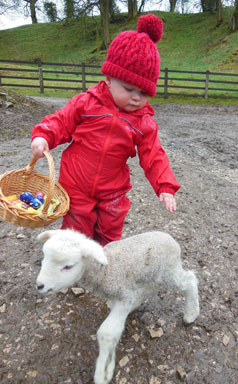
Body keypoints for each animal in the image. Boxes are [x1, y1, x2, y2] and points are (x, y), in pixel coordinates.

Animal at [36, 230, 200, 382]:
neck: (105, 271)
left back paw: (191, 314)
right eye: (45, 257)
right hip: (150, 274)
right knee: (151, 288)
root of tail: (169, 237)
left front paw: (103, 372)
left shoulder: (123, 297)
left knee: (190, 279)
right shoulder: (122, 296)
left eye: (68, 266)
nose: (39, 286)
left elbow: (107, 334)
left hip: (169, 271)